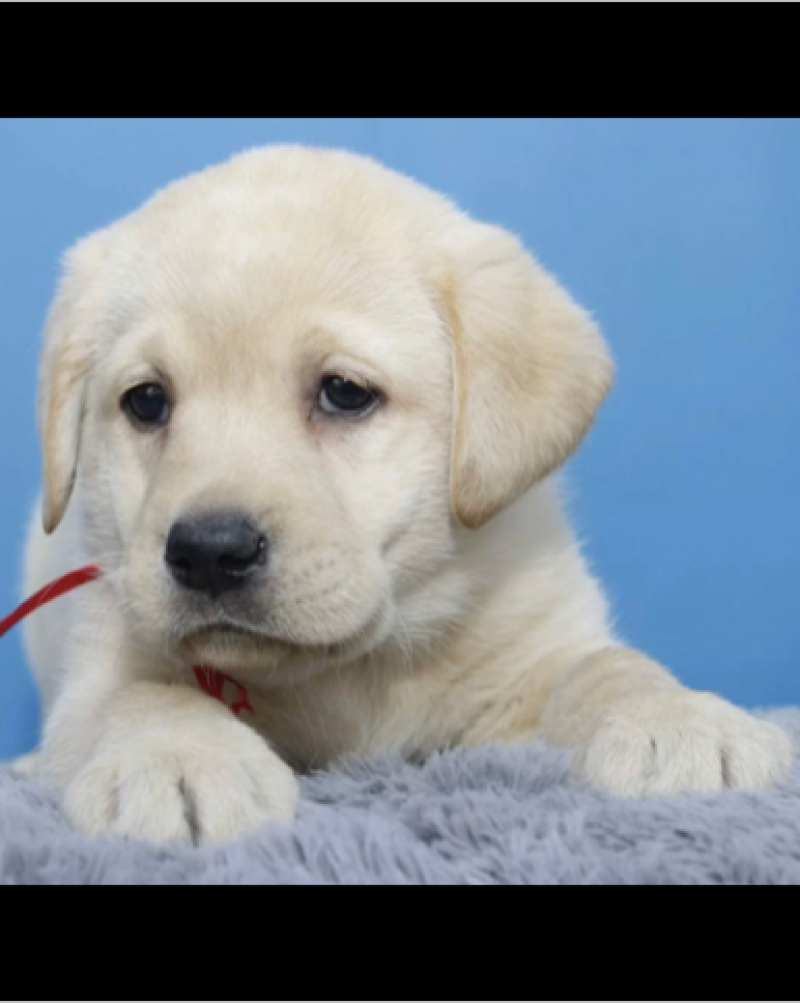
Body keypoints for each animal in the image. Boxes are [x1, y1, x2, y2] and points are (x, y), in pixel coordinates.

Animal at [20, 145, 793, 842]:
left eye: (344, 392)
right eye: (147, 402)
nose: (209, 551)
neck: (352, 667)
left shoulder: (530, 664)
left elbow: (608, 664)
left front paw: (679, 719)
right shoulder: (103, 649)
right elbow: (142, 694)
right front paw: (178, 760)